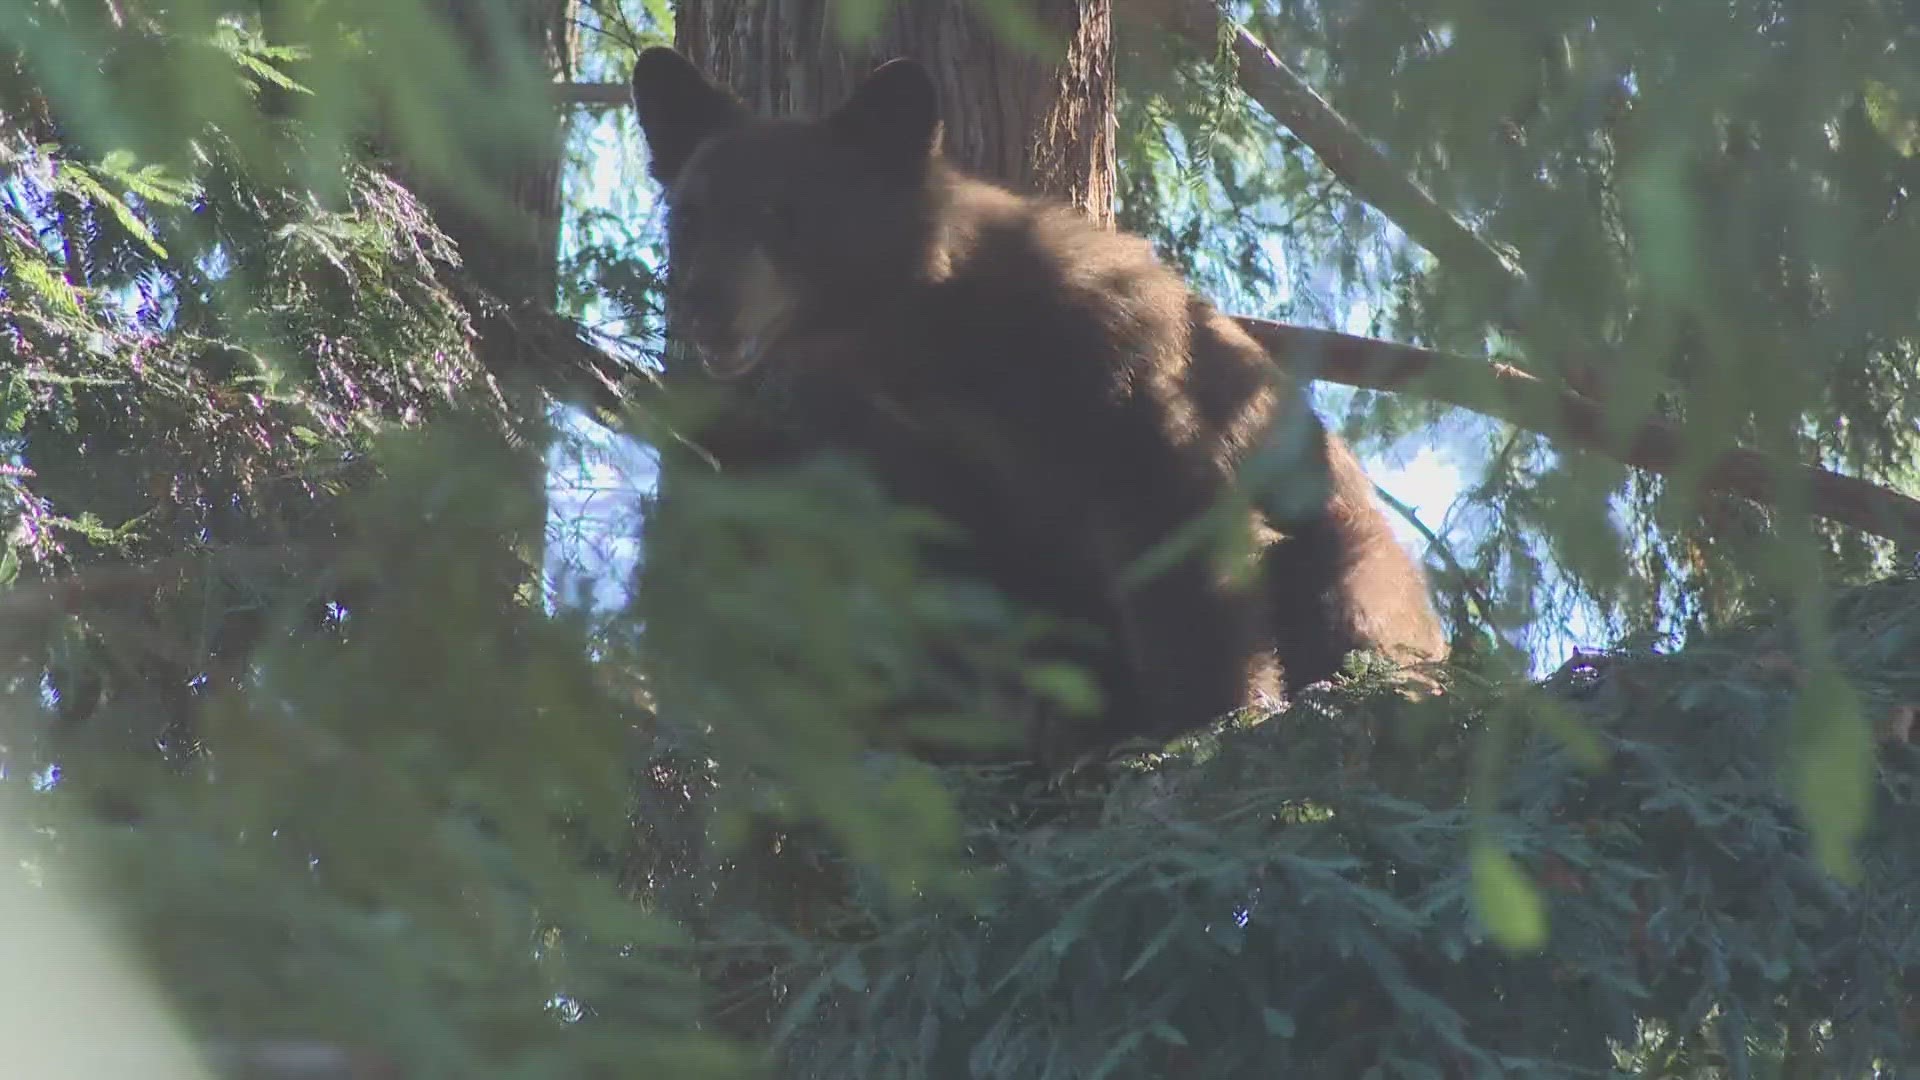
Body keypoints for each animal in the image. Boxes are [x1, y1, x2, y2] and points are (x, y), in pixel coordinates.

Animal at [625, 46, 1443, 760]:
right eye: (689, 214)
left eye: (783, 212)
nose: (702, 304)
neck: (913, 347)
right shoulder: (881, 445)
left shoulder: (1105, 369)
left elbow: (1176, 534)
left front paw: (1205, 715)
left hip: (1353, 546)